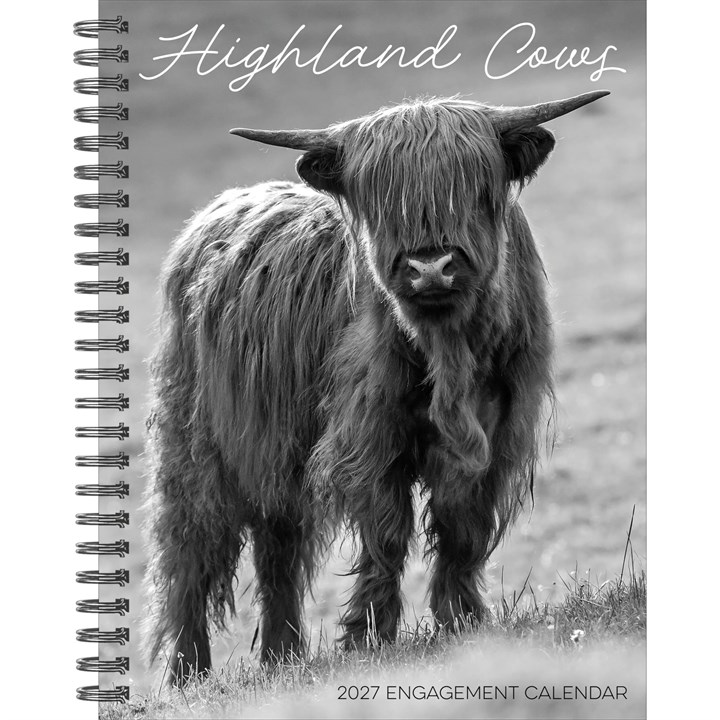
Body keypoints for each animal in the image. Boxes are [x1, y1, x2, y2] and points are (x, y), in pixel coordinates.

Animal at [144, 91, 609, 685]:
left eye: (475, 185)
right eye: (380, 196)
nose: (430, 267)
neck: (448, 353)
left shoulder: (498, 428)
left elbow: (462, 525)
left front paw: (462, 622)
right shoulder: (370, 431)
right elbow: (387, 530)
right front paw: (369, 638)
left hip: (274, 453)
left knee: (278, 548)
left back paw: (281, 658)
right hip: (196, 442)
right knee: (190, 547)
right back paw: (188, 673)